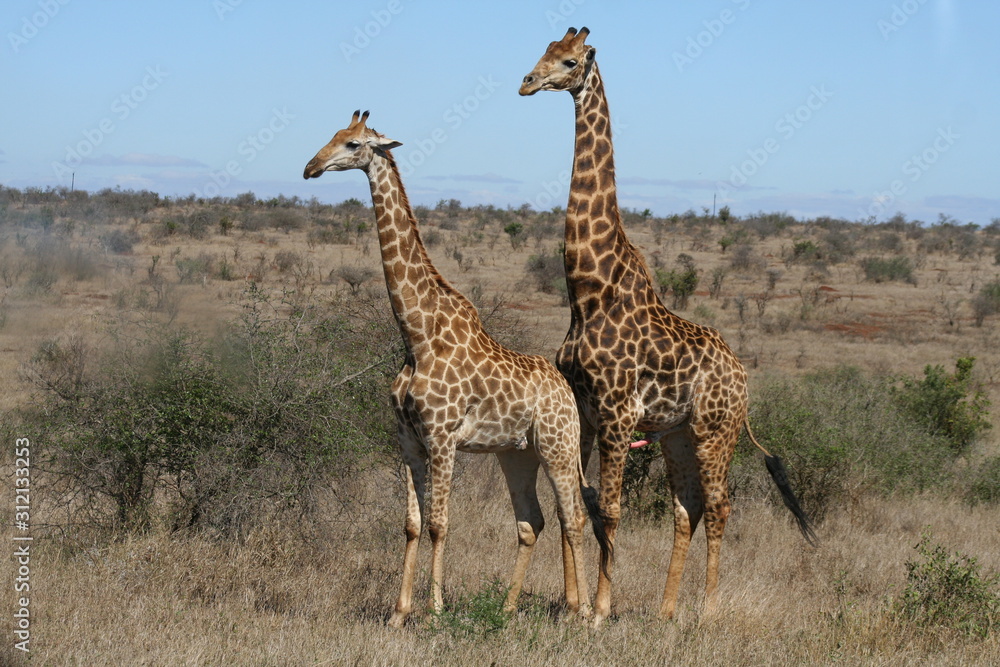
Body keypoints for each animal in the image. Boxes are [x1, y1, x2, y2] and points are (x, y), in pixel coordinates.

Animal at [303, 111, 611, 627]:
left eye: (352, 144)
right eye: (330, 136)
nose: (310, 167)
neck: (417, 335)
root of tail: (566, 390)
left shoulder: (442, 437)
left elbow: (439, 524)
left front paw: (435, 611)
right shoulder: (407, 437)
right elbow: (411, 524)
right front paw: (399, 614)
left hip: (559, 445)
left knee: (574, 517)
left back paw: (583, 612)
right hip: (518, 453)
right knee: (532, 521)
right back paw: (508, 610)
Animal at [520, 28, 815, 625]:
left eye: (568, 61)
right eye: (542, 51)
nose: (527, 82)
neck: (588, 290)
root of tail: (743, 379)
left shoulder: (615, 415)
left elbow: (610, 508)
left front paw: (599, 611)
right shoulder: (585, 413)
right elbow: (575, 505)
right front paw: (573, 604)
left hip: (716, 431)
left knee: (721, 505)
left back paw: (707, 609)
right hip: (679, 435)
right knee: (687, 507)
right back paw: (665, 609)